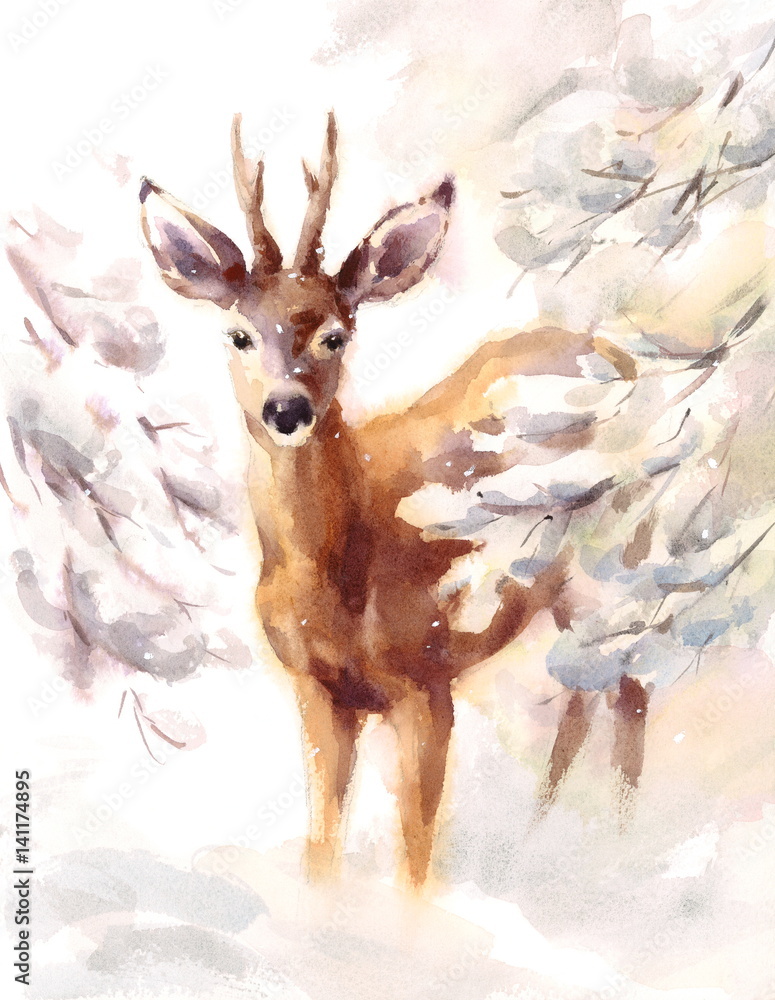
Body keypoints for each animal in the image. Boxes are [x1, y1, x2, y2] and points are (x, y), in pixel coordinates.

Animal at [138, 112, 580, 889]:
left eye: (334, 335)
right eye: (239, 334)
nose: (286, 409)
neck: (333, 581)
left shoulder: (428, 678)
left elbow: (416, 859)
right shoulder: (318, 690)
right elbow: (321, 848)